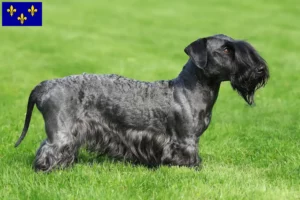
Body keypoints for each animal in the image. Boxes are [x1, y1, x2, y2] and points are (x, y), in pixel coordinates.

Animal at [14, 33, 270, 171]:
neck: (189, 88)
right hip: (61, 132)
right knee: (49, 150)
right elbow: (189, 158)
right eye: (226, 50)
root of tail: (45, 85)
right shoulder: (185, 140)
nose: (260, 69)